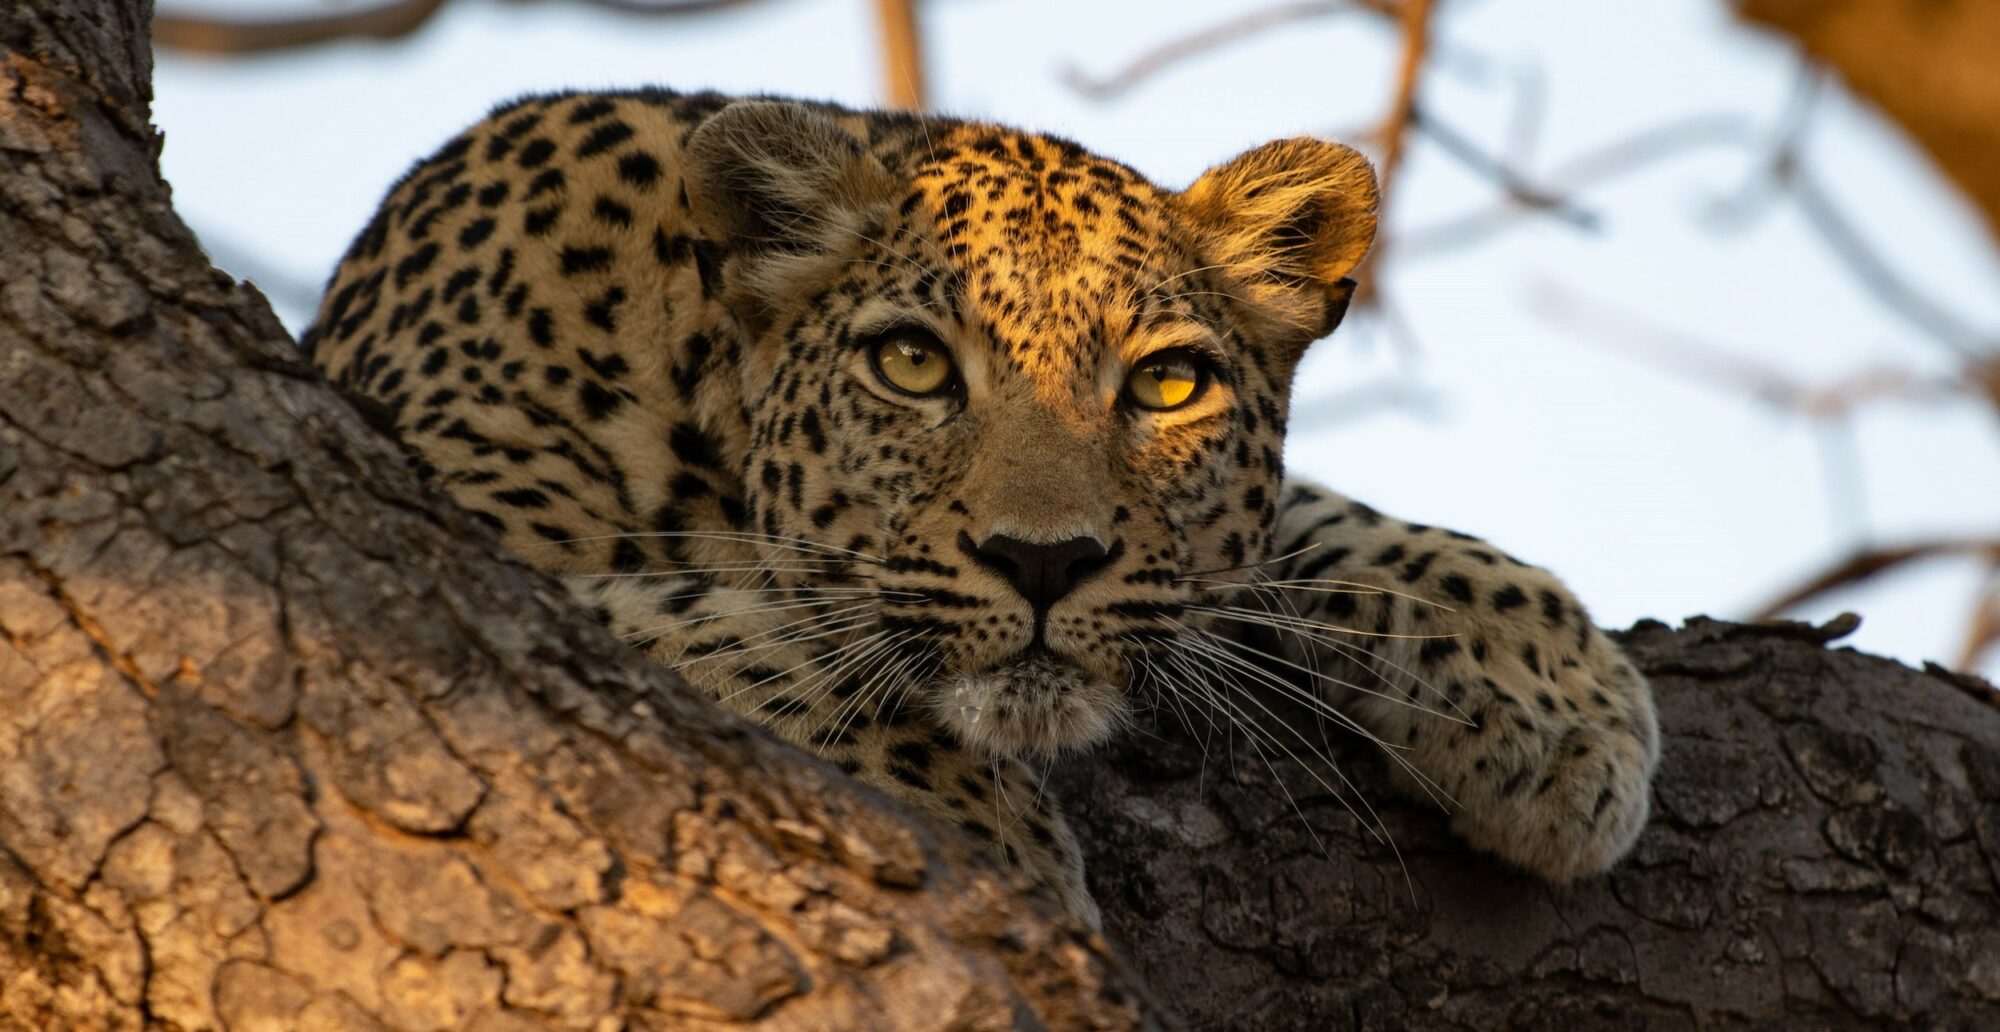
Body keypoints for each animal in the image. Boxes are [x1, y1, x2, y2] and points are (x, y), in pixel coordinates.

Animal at [303, 88, 1660, 927]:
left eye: (1166, 384)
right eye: (910, 365)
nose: (1041, 562)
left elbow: (1299, 522)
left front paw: (1553, 695)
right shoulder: (428, 520)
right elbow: (725, 630)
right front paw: (988, 855)